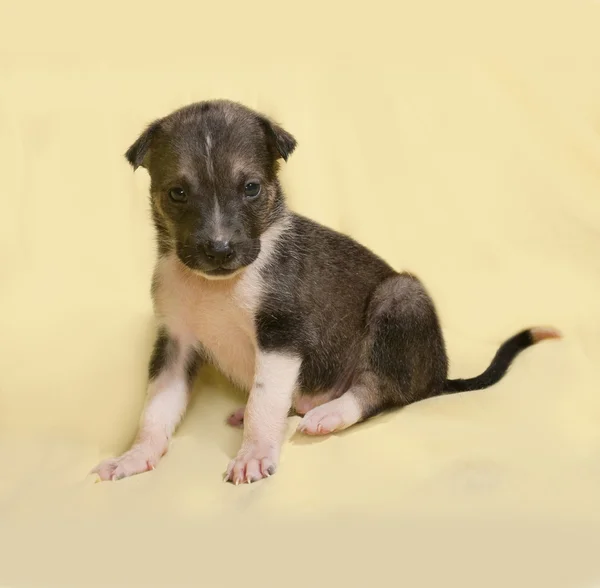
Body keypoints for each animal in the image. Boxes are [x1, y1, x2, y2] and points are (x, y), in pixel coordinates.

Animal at [91, 101, 560, 484]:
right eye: (178, 193)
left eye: (251, 188)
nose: (220, 250)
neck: (218, 285)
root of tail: (437, 376)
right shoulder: (175, 343)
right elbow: (155, 410)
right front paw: (135, 456)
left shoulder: (281, 334)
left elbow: (265, 402)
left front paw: (253, 455)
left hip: (400, 299)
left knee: (380, 388)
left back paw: (331, 414)